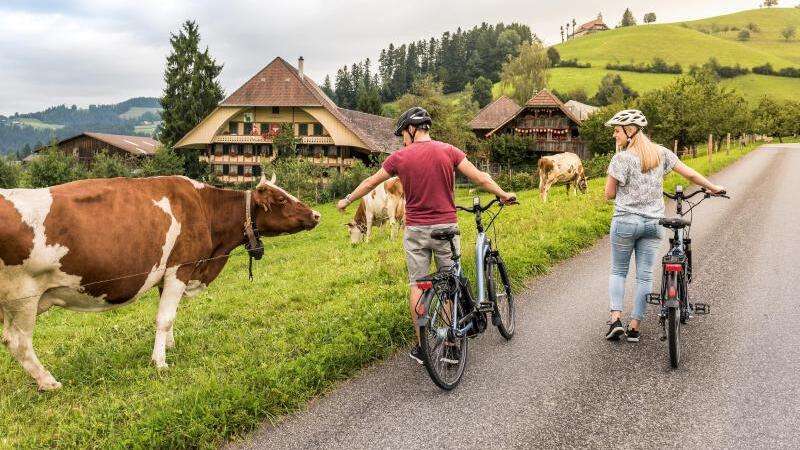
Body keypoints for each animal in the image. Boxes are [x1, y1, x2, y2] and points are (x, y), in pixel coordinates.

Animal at [0, 174, 318, 388]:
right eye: (281, 199)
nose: (315, 214)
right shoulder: (180, 266)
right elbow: (164, 318)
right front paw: (160, 362)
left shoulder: (171, 274)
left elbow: (171, 316)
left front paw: (170, 345)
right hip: (23, 297)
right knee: (19, 342)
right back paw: (48, 382)